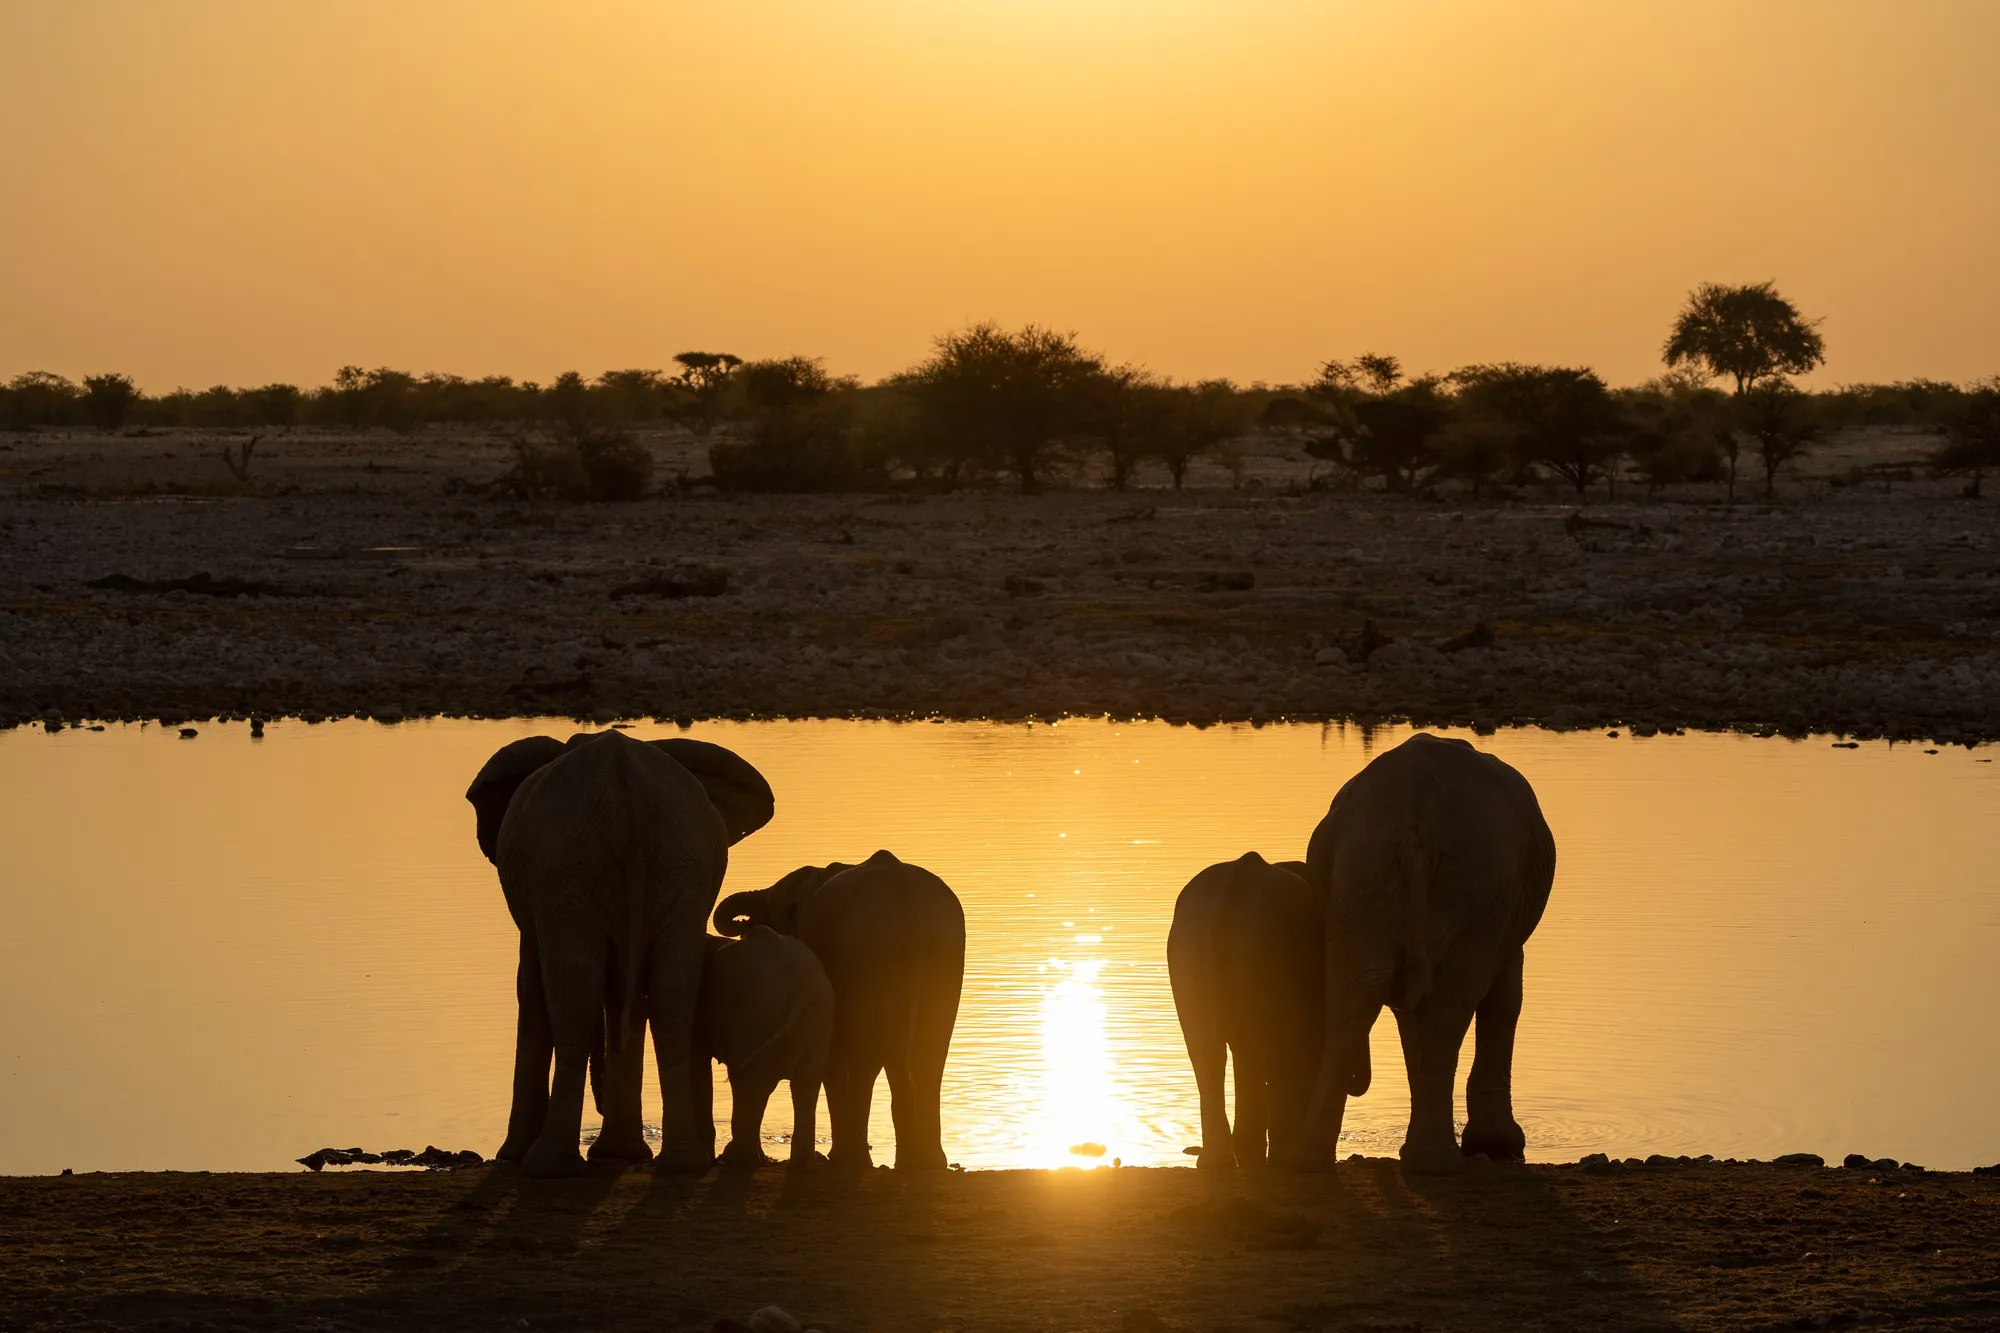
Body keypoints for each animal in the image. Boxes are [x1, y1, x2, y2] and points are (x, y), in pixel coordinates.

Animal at [465, 729, 774, 1178]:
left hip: (571, 873)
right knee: (670, 1001)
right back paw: (682, 1163)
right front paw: (621, 1154)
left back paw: (545, 1165)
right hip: (674, 869)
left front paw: (513, 1156)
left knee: (574, 1002)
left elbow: (532, 988)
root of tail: (629, 810)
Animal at [696, 926, 835, 1169]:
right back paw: (803, 1166)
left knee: (749, 1082)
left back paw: (739, 1161)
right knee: (805, 1083)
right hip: (818, 1019)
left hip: (757, 1015)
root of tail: (800, 986)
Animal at [713, 849, 964, 1171]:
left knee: (873, 1055)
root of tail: (908, 904)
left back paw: (860, 1159)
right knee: (929, 1052)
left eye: (776, 904)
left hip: (870, 957)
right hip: (946, 954)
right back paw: (924, 1162)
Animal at [1167, 853, 1325, 1168]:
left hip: (1190, 954)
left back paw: (1221, 1161)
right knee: (1263, 1047)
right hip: (1263, 954)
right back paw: (1270, 1157)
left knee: (1209, 1049)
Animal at [1299, 733, 1555, 1174]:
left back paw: (1310, 1157)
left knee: (1355, 990)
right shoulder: (1501, 911)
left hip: (1361, 868)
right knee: (1452, 1001)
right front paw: (1500, 1146)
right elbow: (1505, 996)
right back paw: (1439, 1163)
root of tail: (1416, 825)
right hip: (1478, 880)